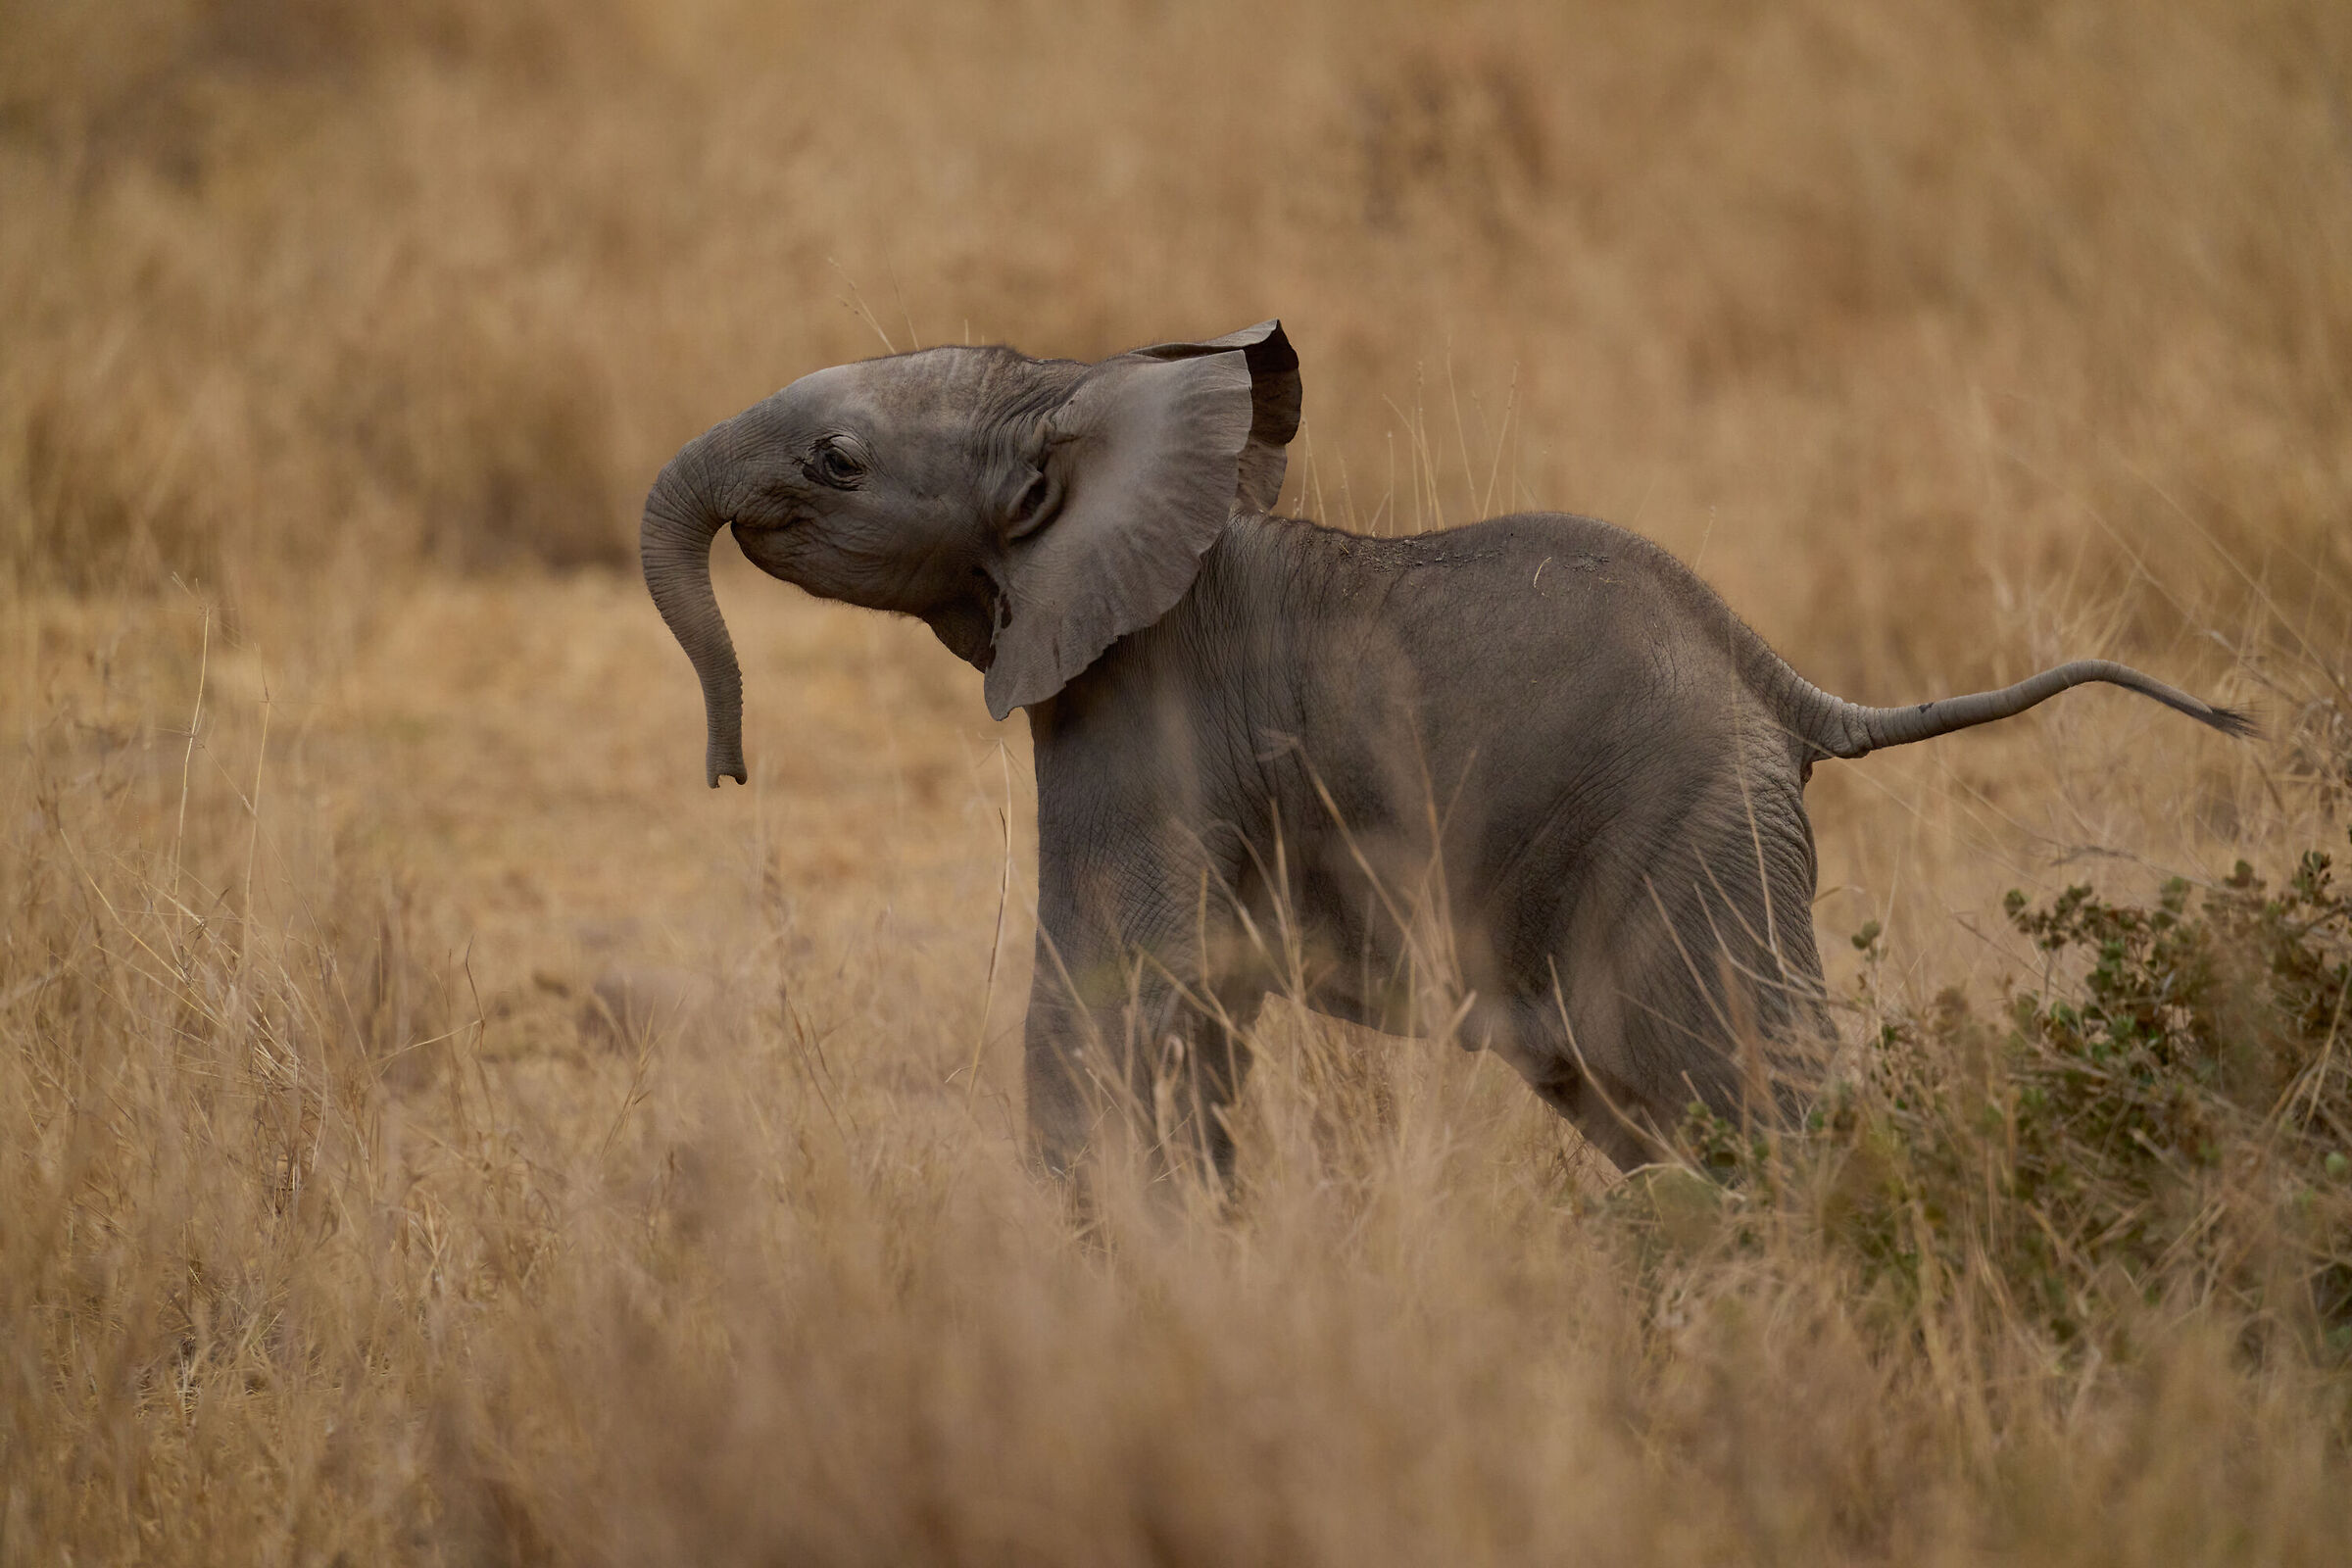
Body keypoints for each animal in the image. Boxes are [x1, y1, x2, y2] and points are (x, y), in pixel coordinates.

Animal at [640, 319, 2251, 1175]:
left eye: (838, 462)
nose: (727, 769)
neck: (1082, 387)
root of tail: (1787, 690)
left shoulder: (1133, 704)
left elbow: (1109, 1002)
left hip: (1683, 838)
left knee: (1741, 1082)